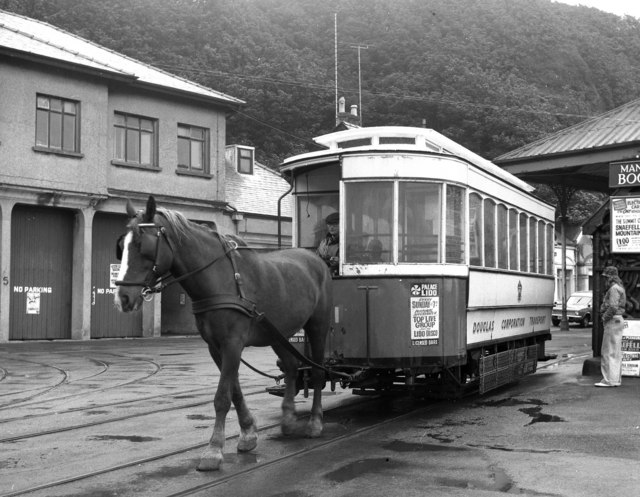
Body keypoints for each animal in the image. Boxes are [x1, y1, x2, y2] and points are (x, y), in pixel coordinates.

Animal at [115, 195, 332, 468]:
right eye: (121, 246)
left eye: (143, 246)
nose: (122, 298)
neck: (220, 279)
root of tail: (315, 259)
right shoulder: (216, 347)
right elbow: (234, 391)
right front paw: (248, 433)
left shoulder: (232, 343)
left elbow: (222, 397)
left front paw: (214, 450)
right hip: (277, 332)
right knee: (292, 366)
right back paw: (289, 418)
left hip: (317, 325)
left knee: (317, 371)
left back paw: (315, 422)